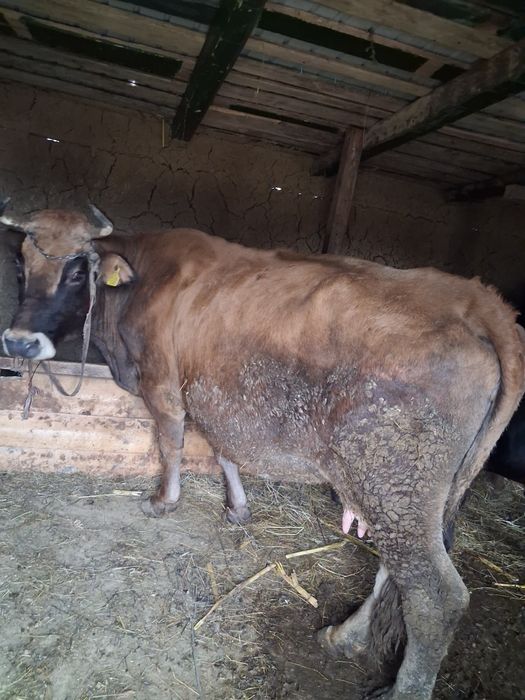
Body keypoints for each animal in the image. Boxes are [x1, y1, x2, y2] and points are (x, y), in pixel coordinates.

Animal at [1, 201, 524, 700]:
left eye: (76, 271)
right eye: (21, 266)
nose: (19, 342)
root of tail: (480, 302)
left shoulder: (162, 383)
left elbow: (171, 442)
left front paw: (164, 501)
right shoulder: (215, 396)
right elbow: (222, 450)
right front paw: (237, 508)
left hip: (395, 482)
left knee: (435, 596)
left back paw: (401, 688)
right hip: (402, 492)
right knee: (393, 571)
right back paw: (345, 636)